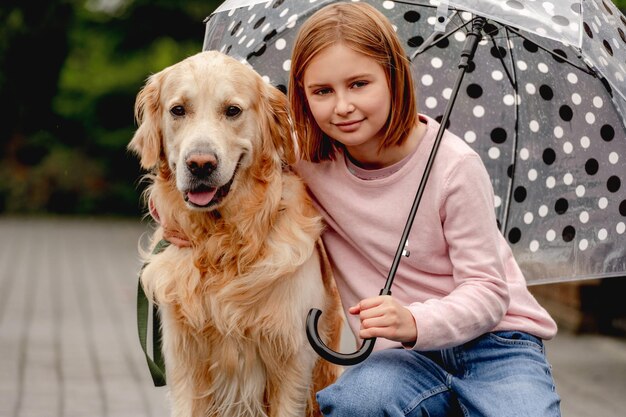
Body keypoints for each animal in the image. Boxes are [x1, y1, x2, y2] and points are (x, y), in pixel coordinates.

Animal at [127, 52, 342, 416]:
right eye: (178, 110)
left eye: (232, 110)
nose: (200, 164)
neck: (221, 244)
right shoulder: (184, 362)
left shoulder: (292, 362)